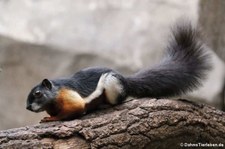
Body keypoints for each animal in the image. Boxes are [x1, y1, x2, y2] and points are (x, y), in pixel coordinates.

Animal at [26, 22, 211, 122]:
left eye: (38, 93)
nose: (27, 107)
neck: (55, 93)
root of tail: (125, 80)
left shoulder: (69, 97)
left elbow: (75, 109)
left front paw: (51, 119)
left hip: (111, 84)